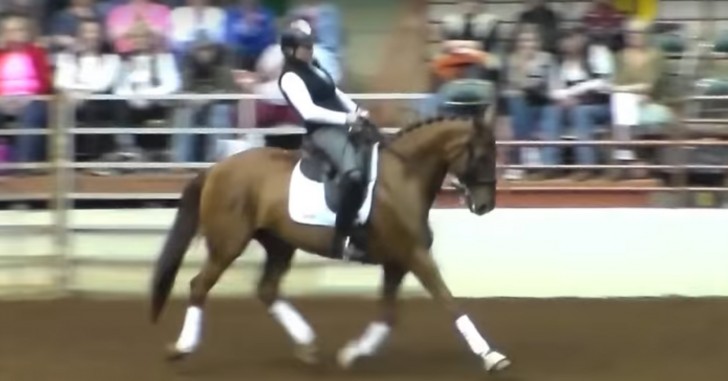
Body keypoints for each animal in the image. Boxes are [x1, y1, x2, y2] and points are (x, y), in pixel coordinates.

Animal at [148, 100, 512, 372]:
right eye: (482, 155)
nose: (485, 205)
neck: (403, 178)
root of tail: (215, 169)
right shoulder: (415, 256)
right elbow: (449, 301)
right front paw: (491, 356)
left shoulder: (397, 262)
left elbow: (388, 316)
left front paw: (352, 354)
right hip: (228, 243)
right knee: (199, 286)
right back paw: (182, 348)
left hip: (278, 244)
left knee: (267, 290)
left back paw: (308, 346)